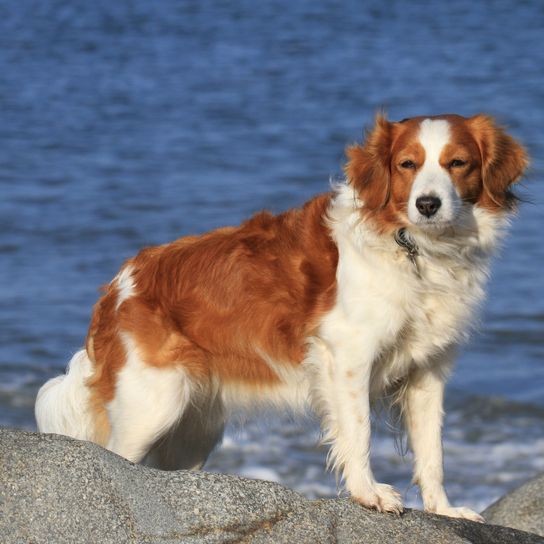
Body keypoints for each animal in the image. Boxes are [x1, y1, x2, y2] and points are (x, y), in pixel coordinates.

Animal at [35, 113, 528, 520]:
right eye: (408, 164)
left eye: (457, 163)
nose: (427, 204)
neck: (413, 249)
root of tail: (119, 285)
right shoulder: (347, 356)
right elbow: (359, 431)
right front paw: (368, 494)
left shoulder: (428, 372)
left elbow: (433, 452)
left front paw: (443, 509)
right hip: (153, 404)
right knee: (115, 458)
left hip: (194, 428)